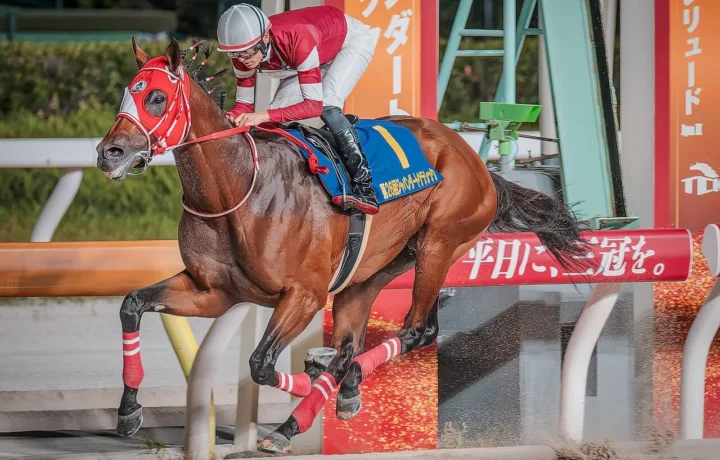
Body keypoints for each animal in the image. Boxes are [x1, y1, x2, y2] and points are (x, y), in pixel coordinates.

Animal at [95, 38, 592, 454]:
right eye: (124, 93)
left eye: (156, 97)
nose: (108, 153)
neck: (237, 189)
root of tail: (473, 158)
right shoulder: (212, 292)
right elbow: (131, 304)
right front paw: (128, 412)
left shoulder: (305, 295)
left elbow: (260, 363)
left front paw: (310, 382)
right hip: (375, 267)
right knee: (357, 338)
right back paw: (331, 393)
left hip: (439, 243)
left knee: (419, 329)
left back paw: (320, 394)